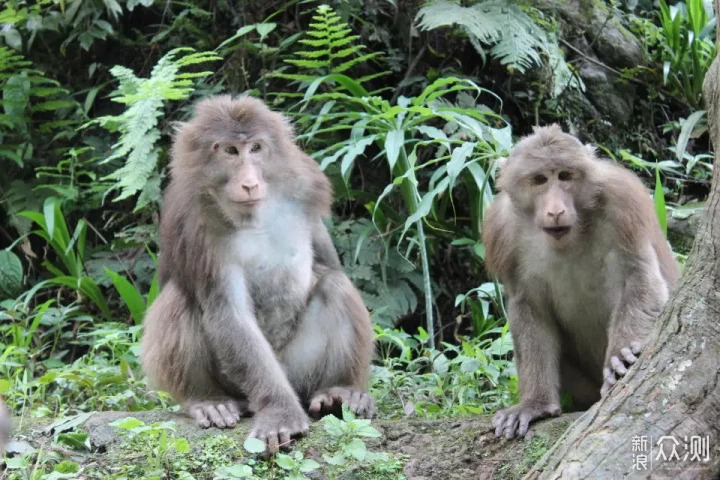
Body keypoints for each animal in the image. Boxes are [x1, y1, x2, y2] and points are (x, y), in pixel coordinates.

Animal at [141, 95, 376, 452]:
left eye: (255, 148)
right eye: (230, 151)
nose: (250, 183)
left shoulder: (304, 192)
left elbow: (331, 266)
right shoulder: (196, 226)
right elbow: (230, 313)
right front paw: (280, 413)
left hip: (299, 371)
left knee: (335, 285)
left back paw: (338, 391)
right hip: (242, 382)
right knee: (180, 297)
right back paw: (207, 400)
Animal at [484, 124, 680, 438]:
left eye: (564, 176)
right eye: (540, 179)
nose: (555, 211)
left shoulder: (622, 200)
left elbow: (639, 276)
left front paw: (621, 356)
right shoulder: (500, 229)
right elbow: (527, 306)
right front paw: (535, 404)